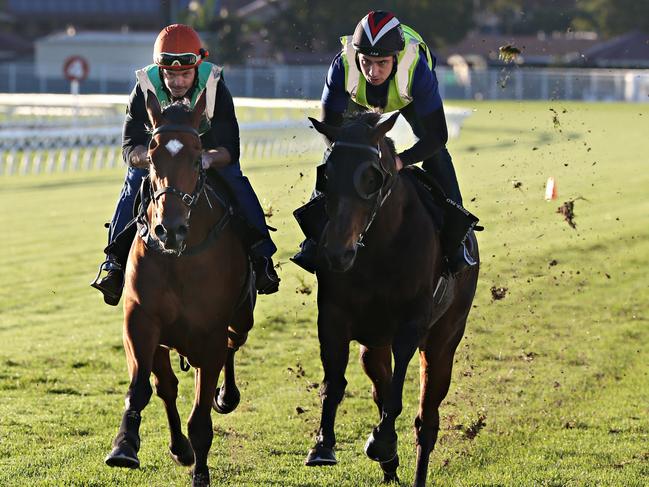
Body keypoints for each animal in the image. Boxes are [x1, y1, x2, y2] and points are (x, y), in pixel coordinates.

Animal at [103, 91, 251, 487]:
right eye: (152, 155)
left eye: (198, 155)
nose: (169, 229)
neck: (179, 258)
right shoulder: (140, 320)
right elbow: (142, 388)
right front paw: (124, 445)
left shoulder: (210, 335)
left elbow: (201, 418)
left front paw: (201, 473)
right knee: (166, 386)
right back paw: (179, 447)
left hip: (239, 319)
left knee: (234, 342)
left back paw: (226, 396)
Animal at [304, 112, 476, 486]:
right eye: (326, 173)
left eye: (372, 177)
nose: (337, 252)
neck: (380, 247)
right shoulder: (333, 316)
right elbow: (334, 384)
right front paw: (323, 445)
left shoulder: (412, 323)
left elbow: (396, 396)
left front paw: (381, 441)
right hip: (373, 345)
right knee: (379, 386)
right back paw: (390, 464)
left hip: (444, 341)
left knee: (426, 420)